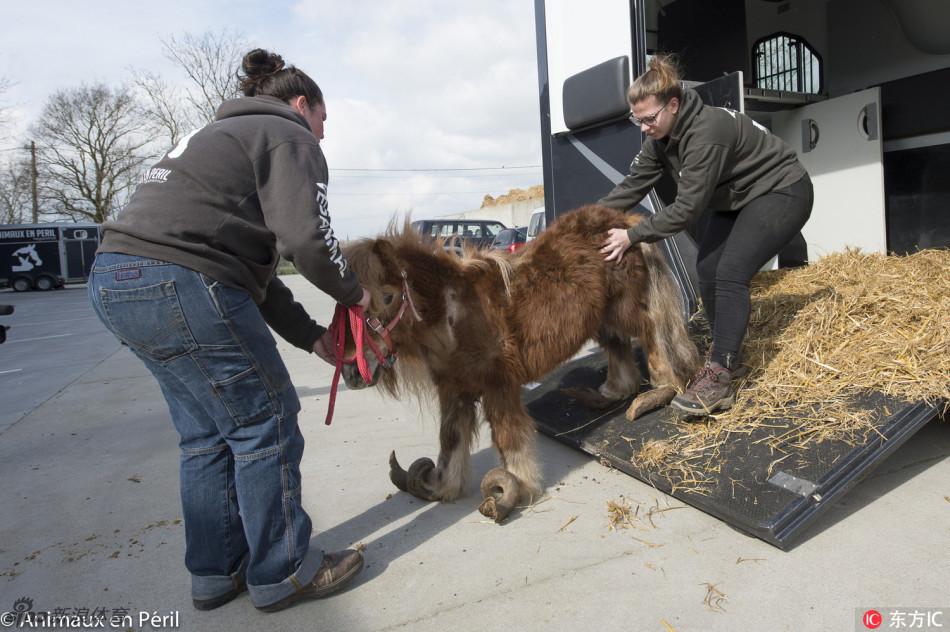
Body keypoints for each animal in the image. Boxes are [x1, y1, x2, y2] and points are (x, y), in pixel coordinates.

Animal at [340, 205, 700, 520]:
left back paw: (658, 393)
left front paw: (513, 492)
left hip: (628, 307)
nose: (351, 372)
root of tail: (623, 221)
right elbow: (451, 439)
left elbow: (509, 439)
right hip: (603, 315)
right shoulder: (455, 389)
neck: (455, 314)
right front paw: (442, 487)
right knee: (619, 349)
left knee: (655, 335)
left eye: (387, 297)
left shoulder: (499, 386)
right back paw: (606, 393)